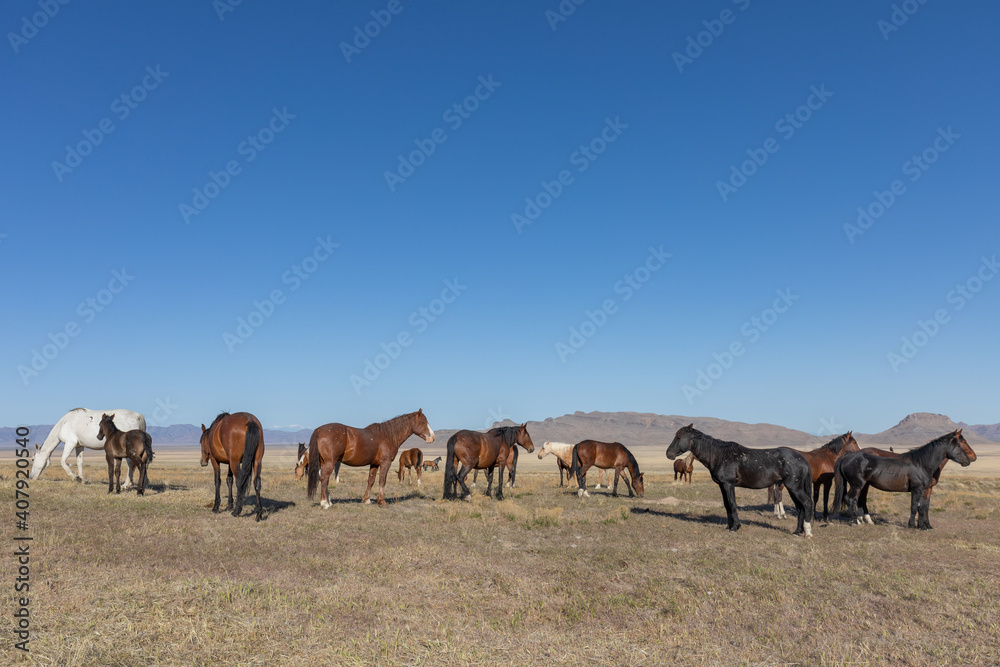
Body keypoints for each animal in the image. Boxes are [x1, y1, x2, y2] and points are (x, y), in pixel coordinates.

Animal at [306, 410, 436, 508]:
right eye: (423, 422)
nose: (433, 438)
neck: (388, 435)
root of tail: (319, 430)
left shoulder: (374, 464)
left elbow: (371, 481)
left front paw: (366, 499)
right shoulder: (385, 463)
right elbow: (382, 481)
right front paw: (381, 501)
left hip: (324, 462)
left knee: (324, 479)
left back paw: (329, 502)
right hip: (330, 462)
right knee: (324, 479)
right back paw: (324, 503)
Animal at [664, 428, 812, 536]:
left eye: (679, 437)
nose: (668, 454)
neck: (720, 455)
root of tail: (802, 458)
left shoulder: (728, 484)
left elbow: (732, 504)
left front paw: (735, 527)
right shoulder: (722, 485)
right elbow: (727, 505)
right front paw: (729, 526)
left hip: (794, 488)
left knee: (807, 503)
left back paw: (808, 532)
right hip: (793, 489)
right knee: (800, 508)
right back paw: (797, 531)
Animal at [832, 430, 972, 528]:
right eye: (960, 445)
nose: (969, 460)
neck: (921, 463)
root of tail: (847, 456)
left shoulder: (924, 490)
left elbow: (922, 508)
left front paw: (923, 526)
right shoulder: (916, 489)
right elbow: (914, 507)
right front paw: (913, 525)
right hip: (857, 485)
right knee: (850, 499)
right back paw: (856, 521)